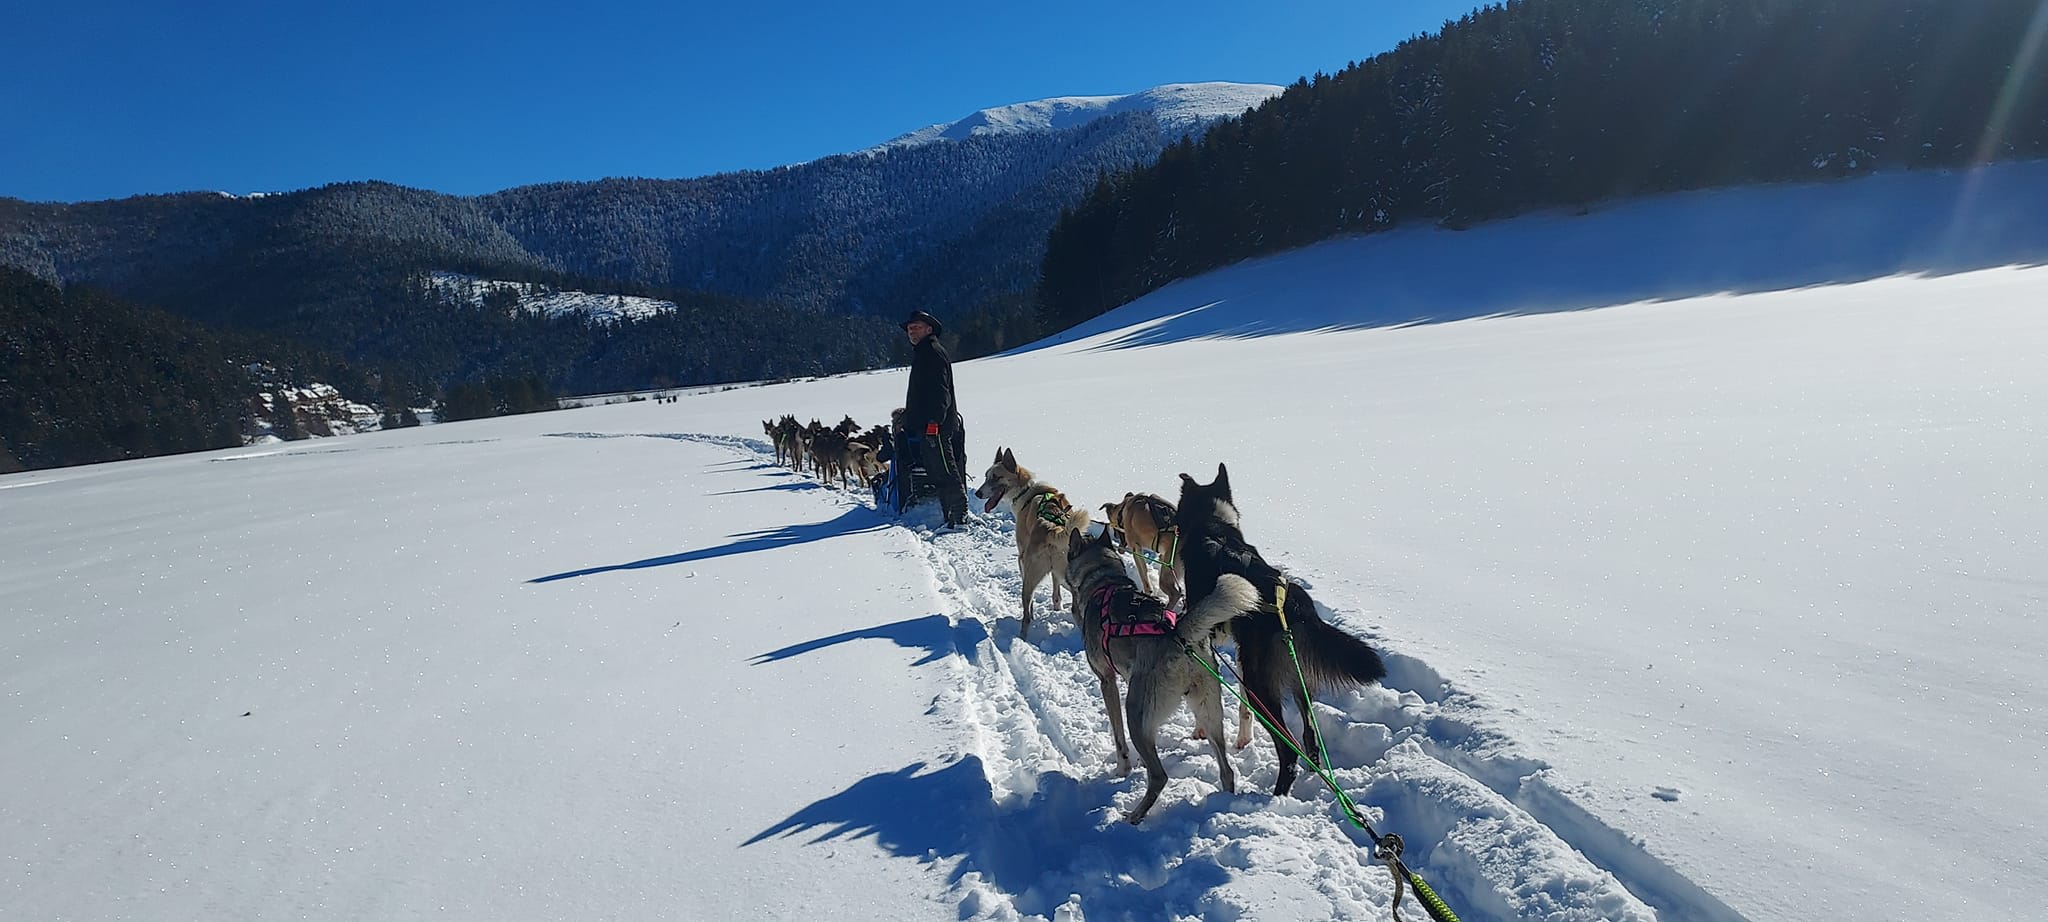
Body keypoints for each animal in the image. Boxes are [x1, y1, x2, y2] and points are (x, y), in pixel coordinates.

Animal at [970, 448, 1089, 639]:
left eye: (995, 477)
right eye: (986, 476)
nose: (977, 494)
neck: (1026, 491)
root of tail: (1053, 528)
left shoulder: (1021, 559)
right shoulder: (1056, 575)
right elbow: (1056, 591)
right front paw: (1056, 606)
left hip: (1029, 577)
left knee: (1026, 614)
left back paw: (1022, 638)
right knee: (1077, 611)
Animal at [1064, 522, 1253, 823]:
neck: (1104, 582)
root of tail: (1178, 635)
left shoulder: (1107, 681)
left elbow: (1118, 738)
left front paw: (1123, 769)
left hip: (1136, 712)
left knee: (1159, 776)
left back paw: (1134, 816)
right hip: (1208, 711)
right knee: (1227, 770)